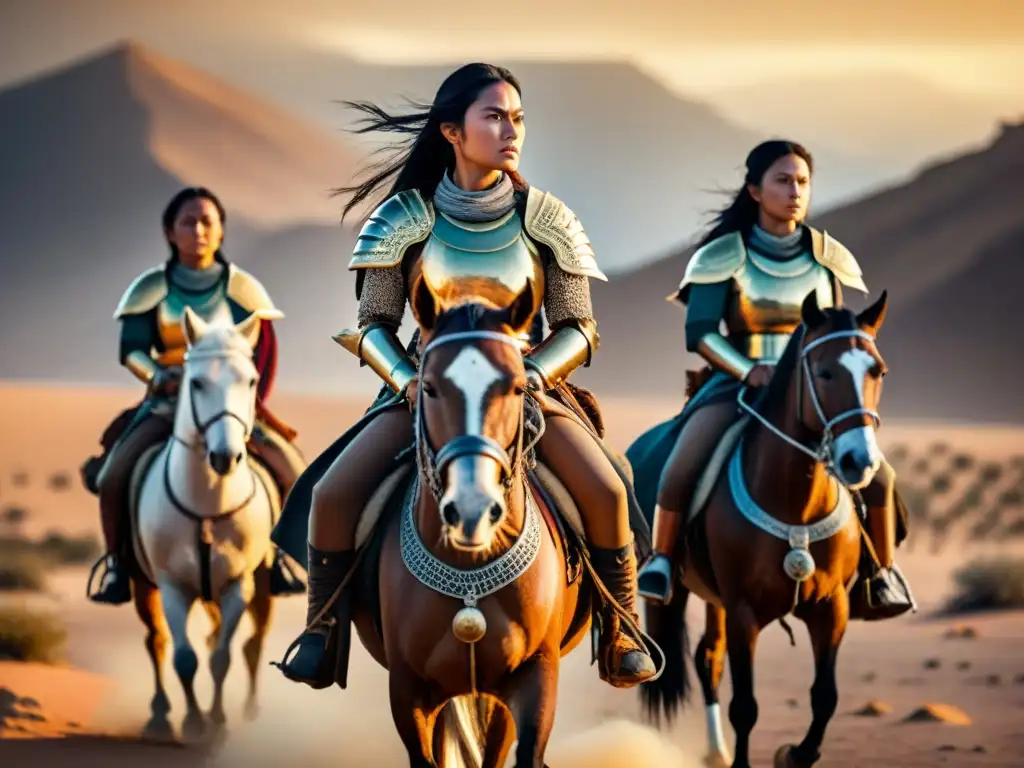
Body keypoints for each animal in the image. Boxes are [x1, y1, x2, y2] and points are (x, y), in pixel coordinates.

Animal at [134, 309, 284, 745]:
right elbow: (185, 657)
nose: (225, 457)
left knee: (251, 643)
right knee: (156, 641)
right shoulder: (171, 586)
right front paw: (194, 721)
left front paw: (216, 721)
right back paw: (159, 715)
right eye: (197, 382)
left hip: (262, 584)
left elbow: (221, 656)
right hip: (143, 585)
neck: (207, 506)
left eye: (250, 381)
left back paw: (250, 710)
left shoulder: (238, 585)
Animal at [638, 290, 888, 768]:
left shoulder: (831, 608)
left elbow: (825, 697)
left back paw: (716, 751)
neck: (796, 508)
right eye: (824, 372)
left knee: (708, 656)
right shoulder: (743, 612)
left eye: (878, 371)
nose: (858, 461)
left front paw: (795, 754)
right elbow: (746, 706)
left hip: (713, 597)